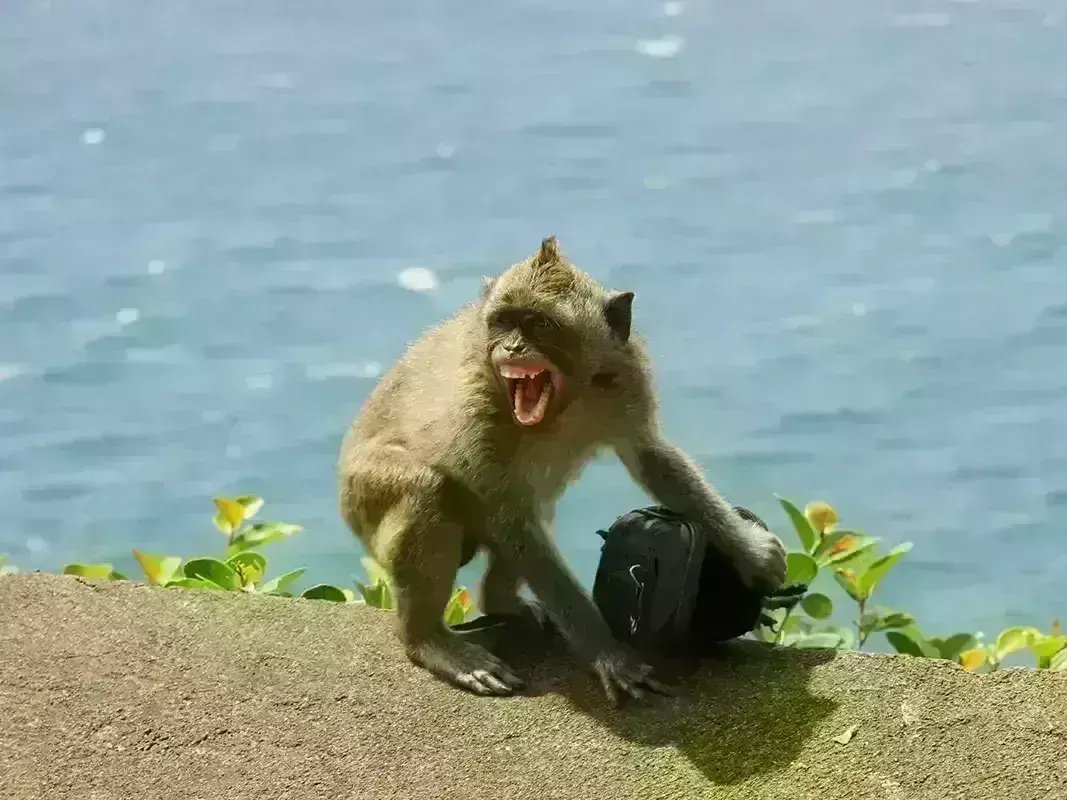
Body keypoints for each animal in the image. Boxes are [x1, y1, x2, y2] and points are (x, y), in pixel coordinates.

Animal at [338, 236, 787, 707]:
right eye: (503, 322)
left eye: (539, 324)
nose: (512, 349)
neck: (566, 402)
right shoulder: (477, 407)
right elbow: (511, 521)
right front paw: (610, 656)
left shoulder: (626, 375)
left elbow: (651, 457)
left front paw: (751, 552)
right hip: (363, 497)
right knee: (429, 490)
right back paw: (428, 641)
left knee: (533, 506)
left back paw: (501, 603)